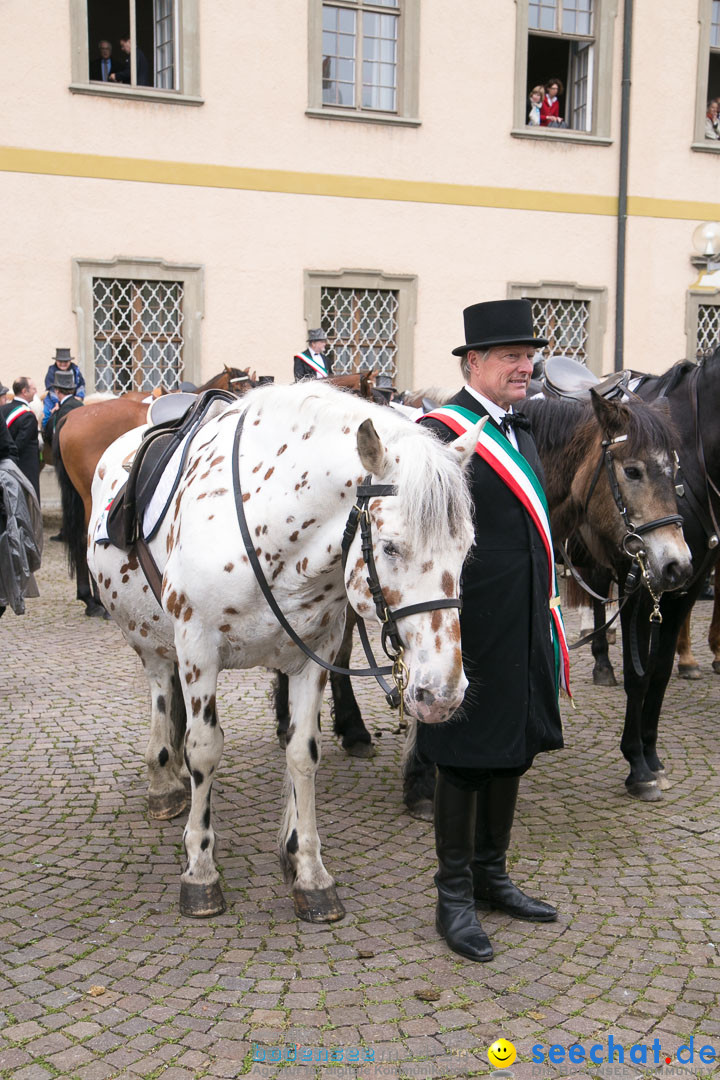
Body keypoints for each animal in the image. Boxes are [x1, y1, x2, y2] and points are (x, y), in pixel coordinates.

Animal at [90, 380, 483, 920]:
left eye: (466, 549)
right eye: (390, 548)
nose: (442, 693)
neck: (266, 528)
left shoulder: (313, 654)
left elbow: (302, 753)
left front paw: (309, 871)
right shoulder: (197, 648)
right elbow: (203, 748)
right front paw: (200, 870)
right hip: (149, 638)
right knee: (160, 691)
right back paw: (162, 780)